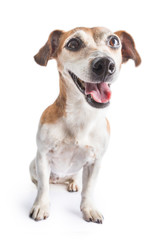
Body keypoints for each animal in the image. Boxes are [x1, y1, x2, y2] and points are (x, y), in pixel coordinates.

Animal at [29, 26, 141, 223]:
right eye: (73, 43)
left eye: (114, 41)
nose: (105, 64)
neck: (81, 115)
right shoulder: (42, 156)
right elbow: (43, 188)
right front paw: (41, 205)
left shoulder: (95, 162)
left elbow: (89, 189)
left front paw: (89, 209)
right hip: (32, 165)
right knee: (41, 181)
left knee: (73, 179)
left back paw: (73, 184)